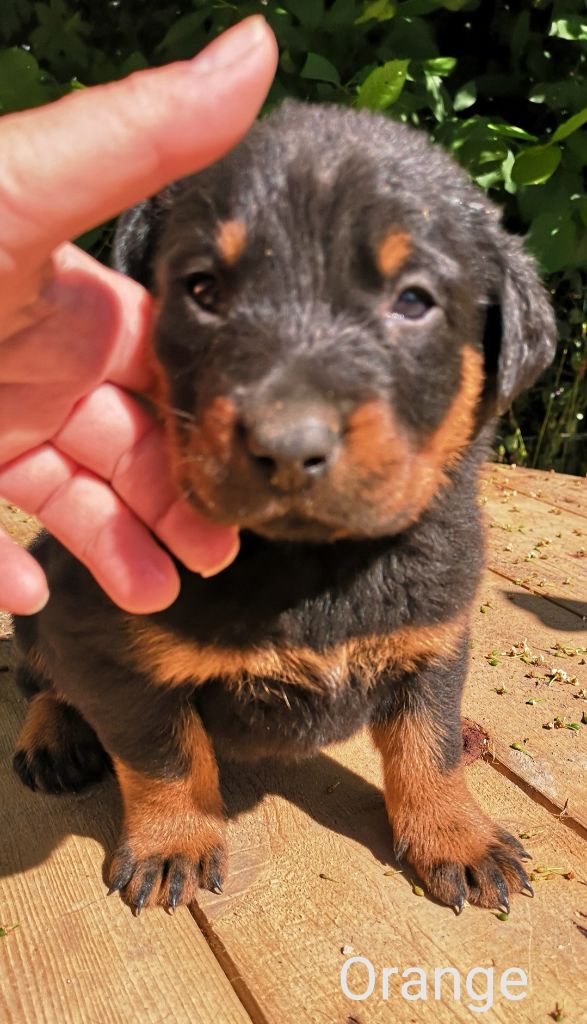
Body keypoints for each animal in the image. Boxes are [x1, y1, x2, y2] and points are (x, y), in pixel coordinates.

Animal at [12, 101, 556, 915]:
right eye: (202, 289)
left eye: (413, 301)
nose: (288, 444)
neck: (314, 566)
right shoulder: (106, 643)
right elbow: (164, 749)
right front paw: (173, 841)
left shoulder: (437, 632)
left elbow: (427, 743)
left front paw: (457, 835)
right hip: (45, 576)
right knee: (41, 677)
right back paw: (52, 738)